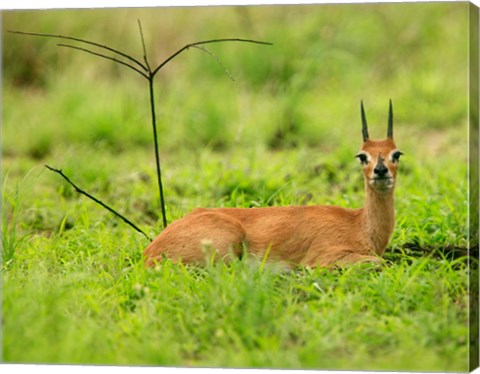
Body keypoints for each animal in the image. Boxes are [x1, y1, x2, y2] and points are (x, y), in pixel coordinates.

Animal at [144, 101, 404, 268]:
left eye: (396, 154)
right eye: (362, 156)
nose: (380, 171)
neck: (359, 225)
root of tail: (150, 252)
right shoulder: (322, 258)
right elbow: (379, 262)